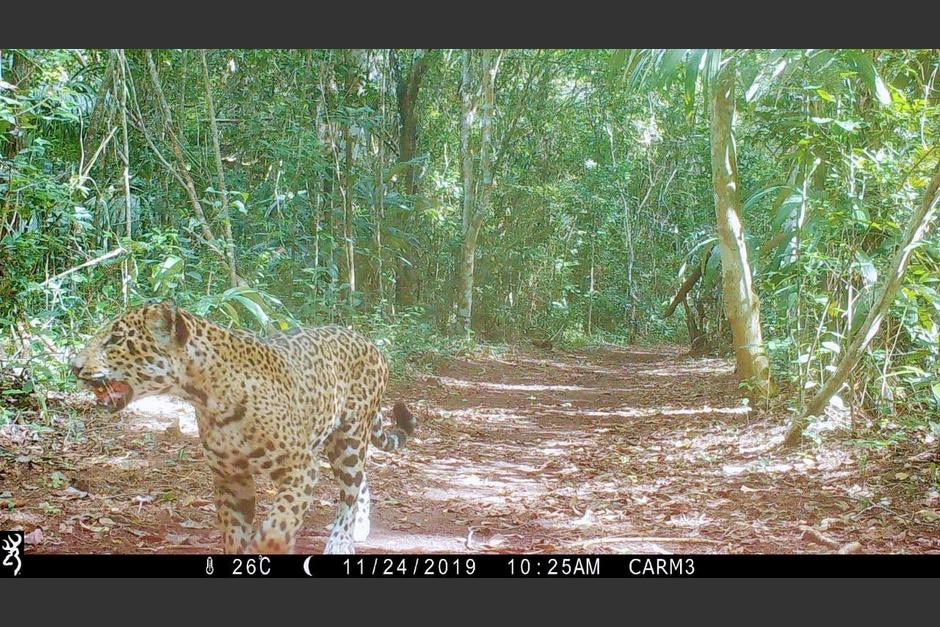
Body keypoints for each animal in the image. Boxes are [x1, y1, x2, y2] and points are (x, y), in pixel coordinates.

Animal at [69, 299, 416, 555]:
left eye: (116, 340)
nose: (73, 366)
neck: (206, 395)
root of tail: (370, 342)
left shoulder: (299, 466)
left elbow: (279, 524)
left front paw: (268, 545)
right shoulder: (230, 477)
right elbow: (234, 533)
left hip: (349, 437)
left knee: (349, 489)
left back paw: (341, 542)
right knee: (361, 480)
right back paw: (360, 527)